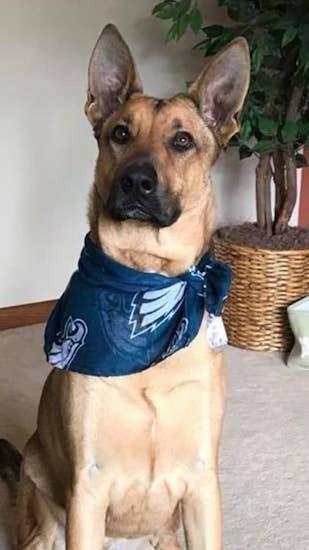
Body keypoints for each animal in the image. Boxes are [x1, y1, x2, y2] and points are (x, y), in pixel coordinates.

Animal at [0, 23, 249, 548]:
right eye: (120, 133)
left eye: (182, 140)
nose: (136, 182)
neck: (145, 281)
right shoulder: (88, 492)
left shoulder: (202, 486)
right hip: (44, 520)